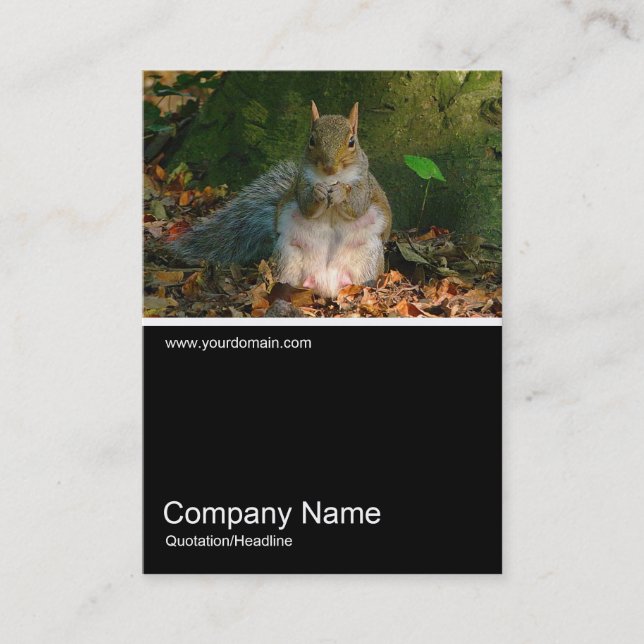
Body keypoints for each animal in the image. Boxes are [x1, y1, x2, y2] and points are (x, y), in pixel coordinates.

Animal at [171, 101, 393, 298]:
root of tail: (326, 284)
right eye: (312, 140)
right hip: (288, 256)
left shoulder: (364, 185)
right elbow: (306, 206)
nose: (330, 167)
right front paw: (318, 192)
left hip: (368, 257)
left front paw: (340, 193)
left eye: (351, 142)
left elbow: (358, 205)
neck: (330, 178)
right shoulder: (301, 182)